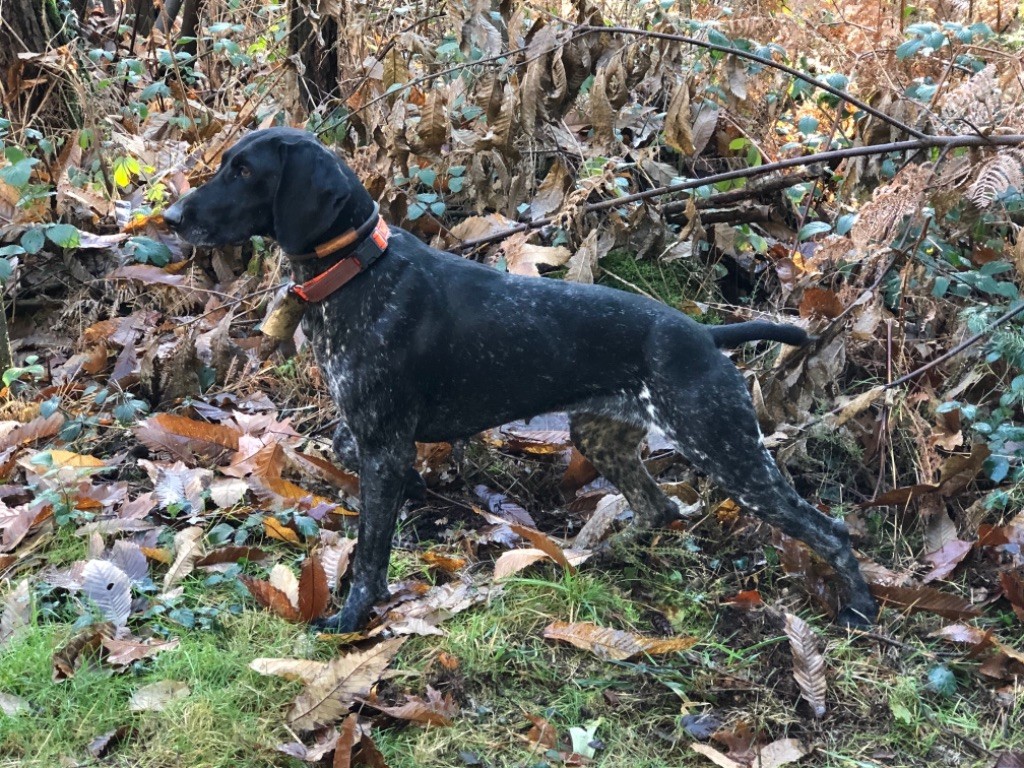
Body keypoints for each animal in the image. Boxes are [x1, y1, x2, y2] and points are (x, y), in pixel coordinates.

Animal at [163, 126, 876, 630]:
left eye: (245, 172)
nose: (170, 218)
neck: (360, 272)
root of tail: (703, 336)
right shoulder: (367, 437)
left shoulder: (384, 447)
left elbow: (369, 553)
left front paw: (352, 617)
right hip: (605, 438)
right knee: (660, 507)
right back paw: (597, 556)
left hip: (727, 452)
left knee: (829, 530)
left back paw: (860, 609)